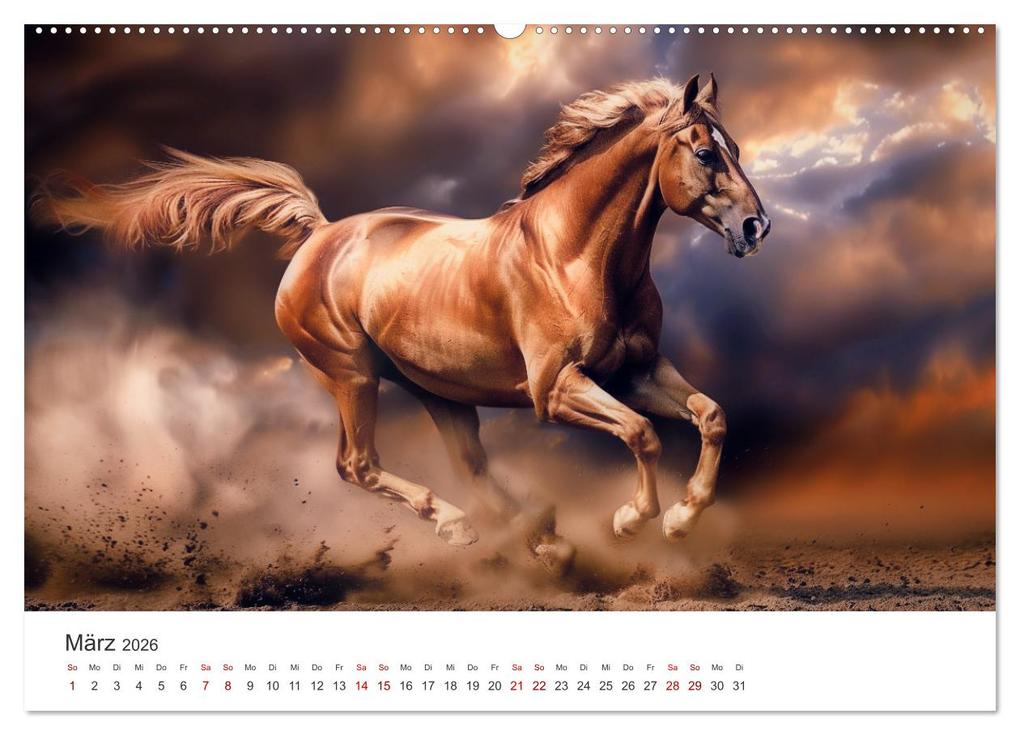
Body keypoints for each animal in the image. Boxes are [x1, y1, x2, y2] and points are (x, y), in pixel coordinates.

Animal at [33, 74, 770, 572]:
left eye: (733, 145)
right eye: (706, 153)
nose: (755, 227)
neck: (573, 254)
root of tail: (320, 234)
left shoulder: (638, 369)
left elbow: (710, 416)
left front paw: (681, 518)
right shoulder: (557, 389)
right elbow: (642, 433)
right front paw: (630, 518)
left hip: (438, 391)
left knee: (470, 465)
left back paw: (544, 537)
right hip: (352, 376)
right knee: (357, 465)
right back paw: (460, 527)